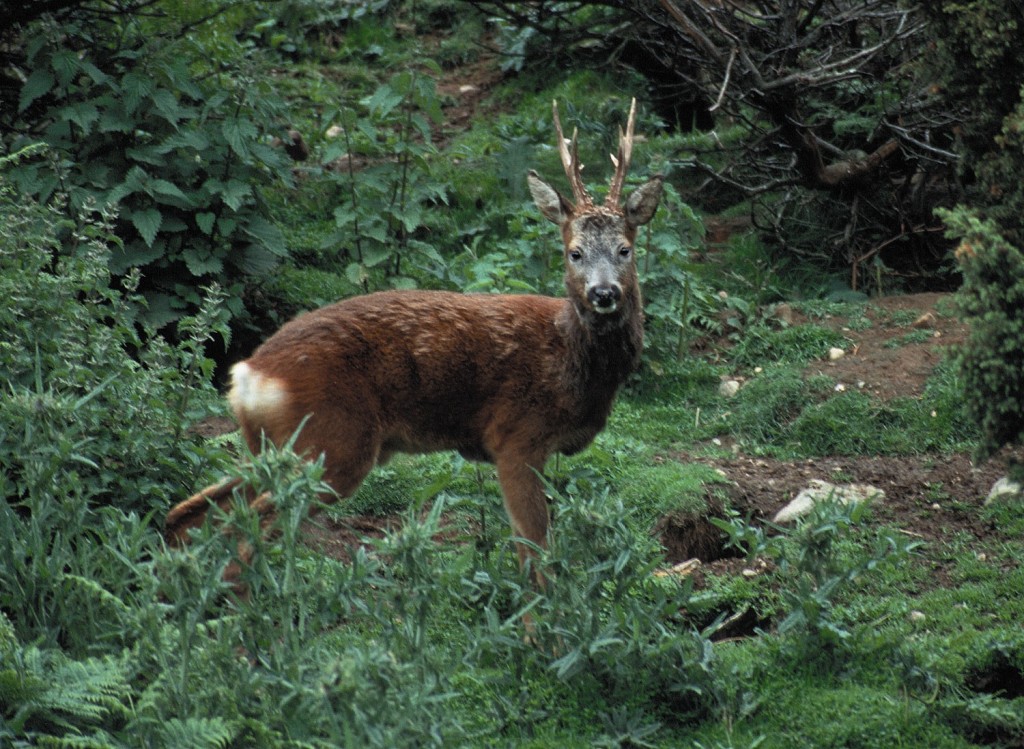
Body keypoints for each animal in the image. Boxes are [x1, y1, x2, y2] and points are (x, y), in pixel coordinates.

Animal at [162, 95, 663, 586]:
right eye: (574, 253)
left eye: (626, 249)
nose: (603, 293)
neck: (570, 359)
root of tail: (249, 375)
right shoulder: (516, 437)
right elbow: (539, 559)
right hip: (332, 442)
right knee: (243, 535)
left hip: (270, 447)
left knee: (186, 513)